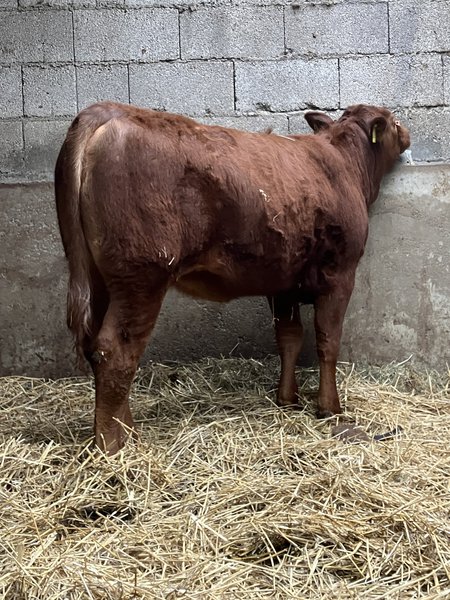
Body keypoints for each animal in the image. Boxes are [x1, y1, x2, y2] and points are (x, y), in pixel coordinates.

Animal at [55, 102, 410, 454]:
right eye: (394, 121)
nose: (406, 133)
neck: (346, 164)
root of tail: (108, 110)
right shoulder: (340, 274)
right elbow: (328, 340)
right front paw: (329, 407)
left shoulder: (283, 281)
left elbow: (289, 338)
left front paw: (287, 399)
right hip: (141, 277)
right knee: (116, 351)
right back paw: (115, 444)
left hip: (98, 278)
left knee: (97, 347)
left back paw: (125, 431)